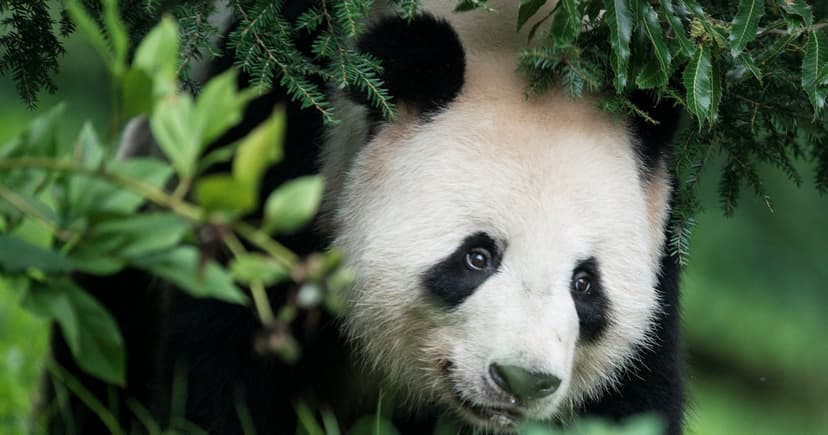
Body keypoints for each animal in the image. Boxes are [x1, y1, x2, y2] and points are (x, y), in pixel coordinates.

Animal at [48, 1, 683, 434]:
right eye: (477, 256)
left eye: (585, 284)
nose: (522, 380)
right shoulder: (279, 150)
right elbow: (223, 360)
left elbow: (633, 399)